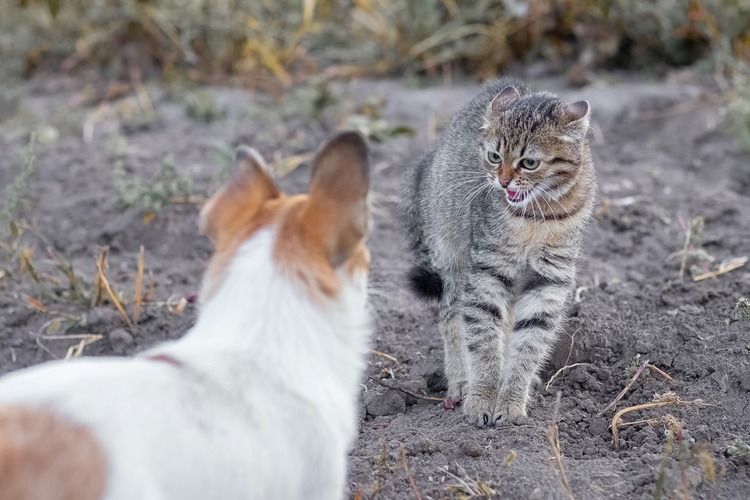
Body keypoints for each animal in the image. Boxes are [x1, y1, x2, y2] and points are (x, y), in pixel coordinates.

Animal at [406, 78, 600, 426]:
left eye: (529, 162)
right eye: (495, 156)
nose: (503, 181)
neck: (537, 216)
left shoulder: (549, 279)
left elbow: (529, 344)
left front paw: (511, 399)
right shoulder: (487, 270)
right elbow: (483, 338)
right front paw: (482, 396)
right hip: (451, 260)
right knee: (451, 317)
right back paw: (461, 381)